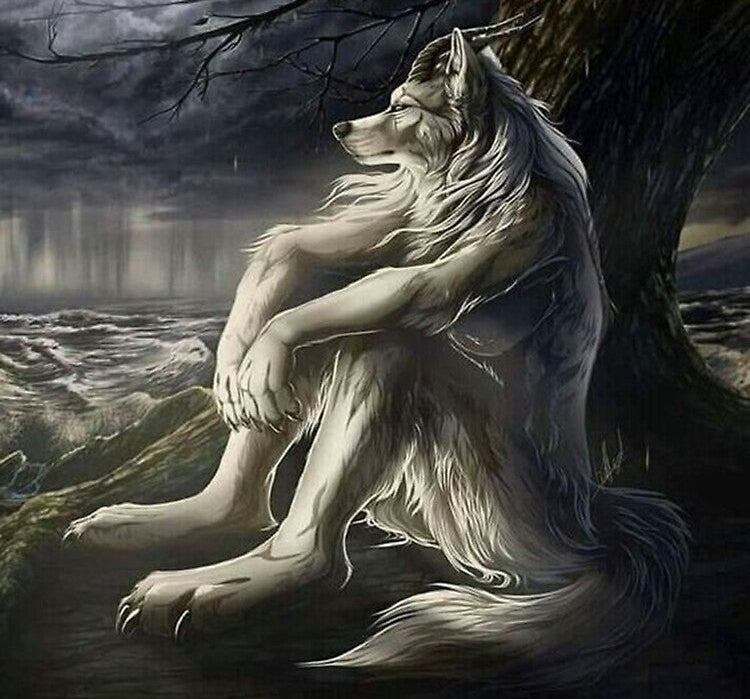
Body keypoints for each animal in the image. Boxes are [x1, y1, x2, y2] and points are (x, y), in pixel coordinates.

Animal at [65, 21, 689, 689]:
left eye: (402, 108)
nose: (340, 129)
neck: (478, 180)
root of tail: (594, 526)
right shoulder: (405, 214)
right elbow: (297, 250)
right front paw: (235, 355)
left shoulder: (520, 231)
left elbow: (396, 292)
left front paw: (266, 345)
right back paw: (201, 513)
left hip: (489, 516)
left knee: (389, 345)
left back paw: (242, 579)